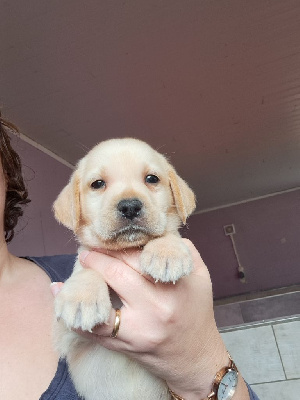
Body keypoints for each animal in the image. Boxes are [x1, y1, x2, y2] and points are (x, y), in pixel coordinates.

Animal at [53, 138, 196, 400]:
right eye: (98, 184)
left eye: (151, 179)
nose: (130, 206)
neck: (126, 250)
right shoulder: (63, 337)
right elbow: (86, 267)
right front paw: (82, 298)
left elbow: (168, 233)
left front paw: (166, 252)